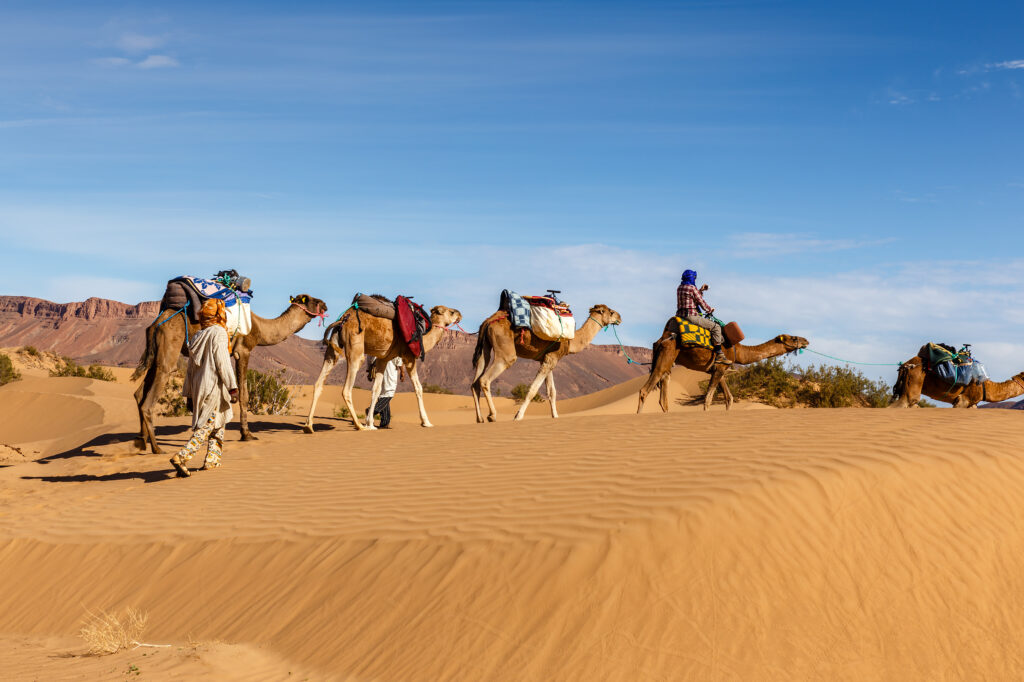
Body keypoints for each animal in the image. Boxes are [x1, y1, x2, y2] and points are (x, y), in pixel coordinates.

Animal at [131, 292, 323, 450]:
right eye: (312, 300)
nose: (325, 305)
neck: (259, 327)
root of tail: (156, 323)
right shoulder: (243, 350)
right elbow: (244, 395)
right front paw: (247, 435)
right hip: (169, 346)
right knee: (153, 392)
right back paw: (156, 448)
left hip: (155, 352)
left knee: (139, 393)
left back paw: (141, 441)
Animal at [301, 299, 462, 430]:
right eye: (451, 312)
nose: (460, 314)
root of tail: (342, 320)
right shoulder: (409, 357)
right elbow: (418, 388)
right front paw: (426, 422)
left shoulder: (384, 359)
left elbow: (376, 389)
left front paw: (370, 423)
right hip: (355, 349)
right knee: (346, 389)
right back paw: (359, 426)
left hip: (332, 350)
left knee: (319, 383)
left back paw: (309, 425)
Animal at [468, 303, 618, 419]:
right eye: (611, 312)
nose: (619, 317)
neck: (571, 341)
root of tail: (489, 321)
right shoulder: (551, 359)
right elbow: (533, 389)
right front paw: (518, 416)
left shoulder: (547, 359)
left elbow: (552, 392)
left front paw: (555, 416)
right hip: (505, 352)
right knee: (485, 379)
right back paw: (492, 415)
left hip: (485, 347)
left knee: (475, 381)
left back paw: (479, 419)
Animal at [630, 319, 806, 409]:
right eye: (793, 338)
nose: (806, 341)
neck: (738, 351)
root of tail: (661, 339)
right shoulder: (720, 368)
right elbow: (708, 399)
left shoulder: (719, 369)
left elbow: (729, 398)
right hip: (666, 355)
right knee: (644, 390)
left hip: (668, 362)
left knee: (663, 398)